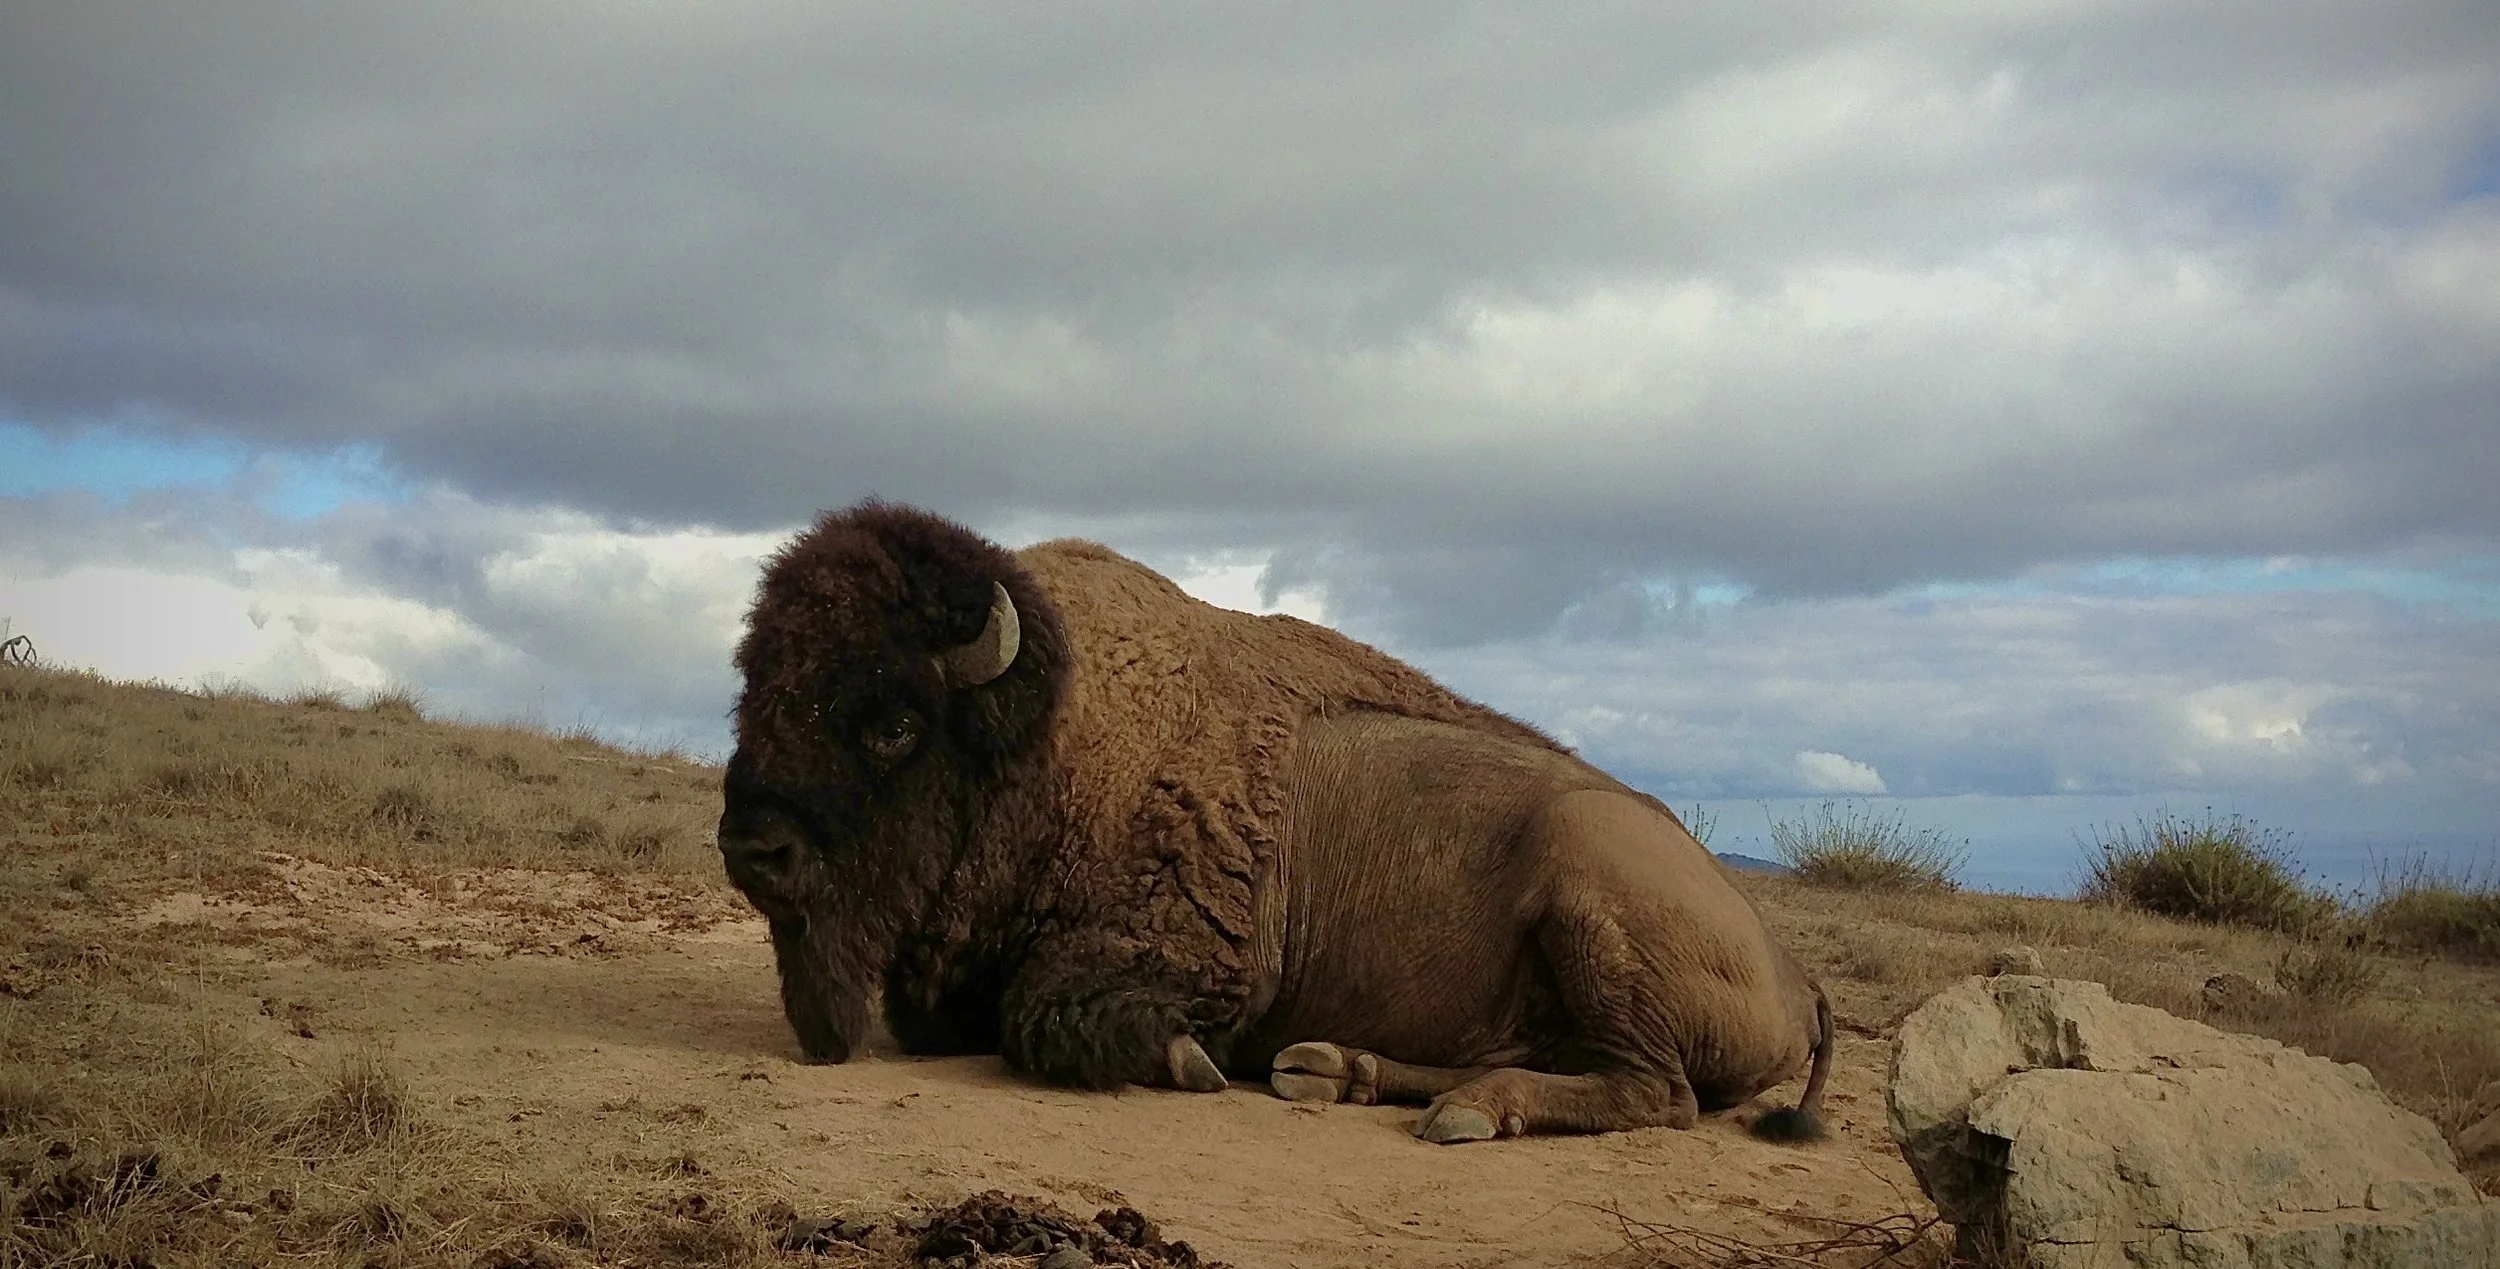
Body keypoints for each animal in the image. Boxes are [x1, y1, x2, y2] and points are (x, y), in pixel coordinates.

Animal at [719, 502, 1833, 1142]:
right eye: (753, 689)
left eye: (896, 723)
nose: (751, 846)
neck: (1052, 742)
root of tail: (1797, 974)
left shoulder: (1190, 964)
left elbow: (1049, 1016)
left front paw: (1190, 1064)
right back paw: (1337, 1072)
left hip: (1592, 893)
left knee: (1656, 1090)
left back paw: (1463, 1113)